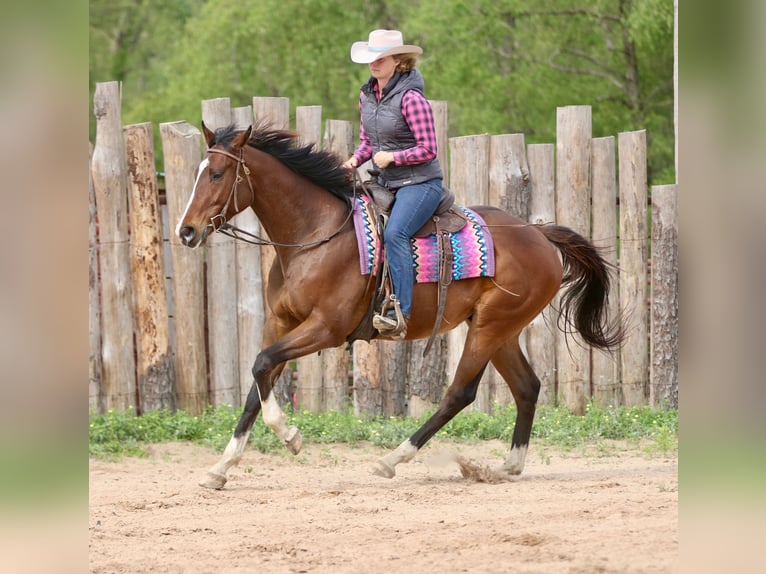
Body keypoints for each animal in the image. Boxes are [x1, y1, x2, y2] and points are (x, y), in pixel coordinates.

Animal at [177, 122, 623, 490]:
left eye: (216, 174)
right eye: (198, 173)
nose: (186, 231)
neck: (314, 236)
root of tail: (539, 234)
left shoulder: (325, 329)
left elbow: (261, 365)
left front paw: (291, 437)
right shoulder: (281, 324)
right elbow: (258, 382)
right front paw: (221, 468)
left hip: (490, 328)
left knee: (459, 394)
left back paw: (392, 459)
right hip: (500, 330)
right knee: (527, 387)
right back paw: (509, 466)